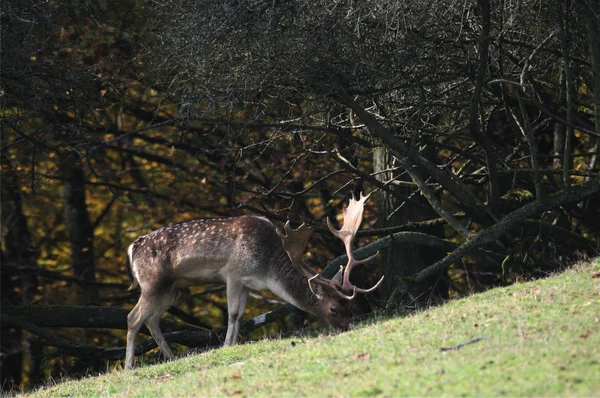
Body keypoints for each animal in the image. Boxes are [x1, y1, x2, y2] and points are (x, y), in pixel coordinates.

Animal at [124, 193, 382, 370]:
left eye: (350, 306)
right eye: (333, 308)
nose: (347, 328)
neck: (267, 268)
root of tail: (132, 248)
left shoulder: (248, 284)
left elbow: (240, 316)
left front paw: (233, 344)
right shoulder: (233, 273)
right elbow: (232, 314)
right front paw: (226, 346)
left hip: (172, 289)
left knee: (152, 319)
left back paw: (171, 357)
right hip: (152, 283)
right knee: (133, 317)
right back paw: (129, 366)